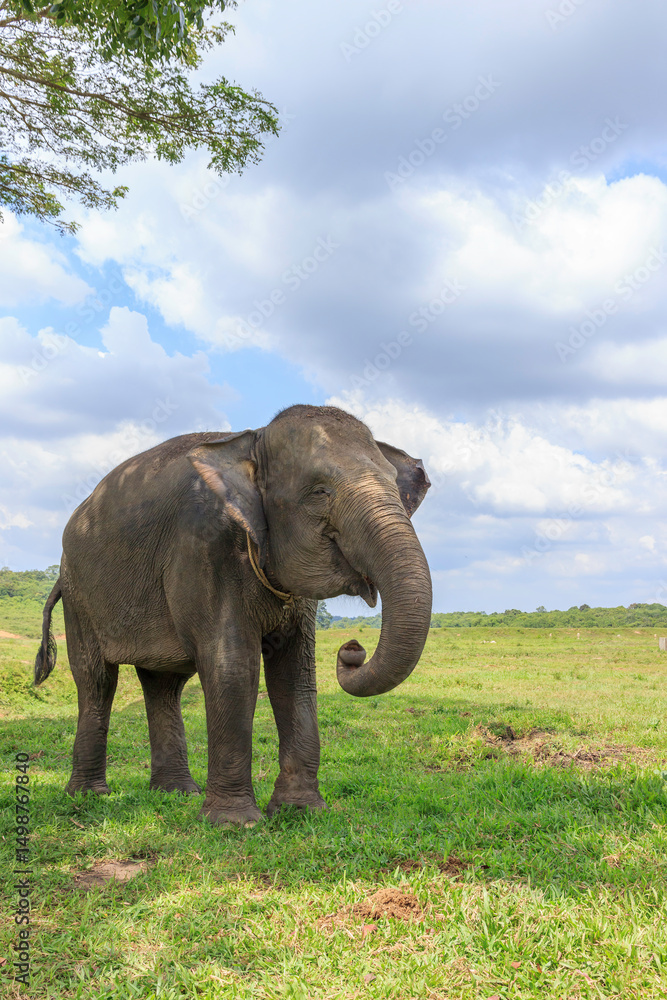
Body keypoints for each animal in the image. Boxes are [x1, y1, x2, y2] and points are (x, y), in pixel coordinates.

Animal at [35, 404, 432, 825]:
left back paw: (178, 793)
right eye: (320, 491)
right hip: (79, 594)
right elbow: (233, 668)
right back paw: (89, 796)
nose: (352, 648)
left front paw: (300, 811)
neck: (252, 440)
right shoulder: (206, 547)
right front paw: (235, 823)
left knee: (163, 683)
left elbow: (294, 674)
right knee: (96, 679)